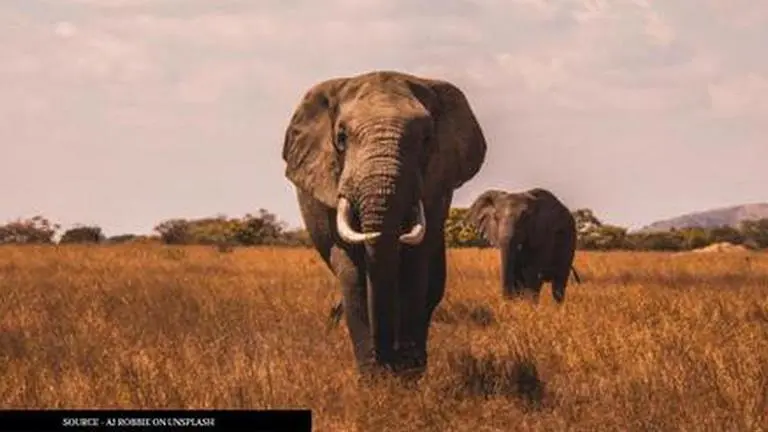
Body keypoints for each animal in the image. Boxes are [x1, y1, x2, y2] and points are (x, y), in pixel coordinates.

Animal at [281, 70, 487, 380]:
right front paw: (374, 379)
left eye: (427, 139)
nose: (386, 362)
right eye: (341, 138)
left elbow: (414, 269)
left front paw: (406, 376)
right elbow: (353, 272)